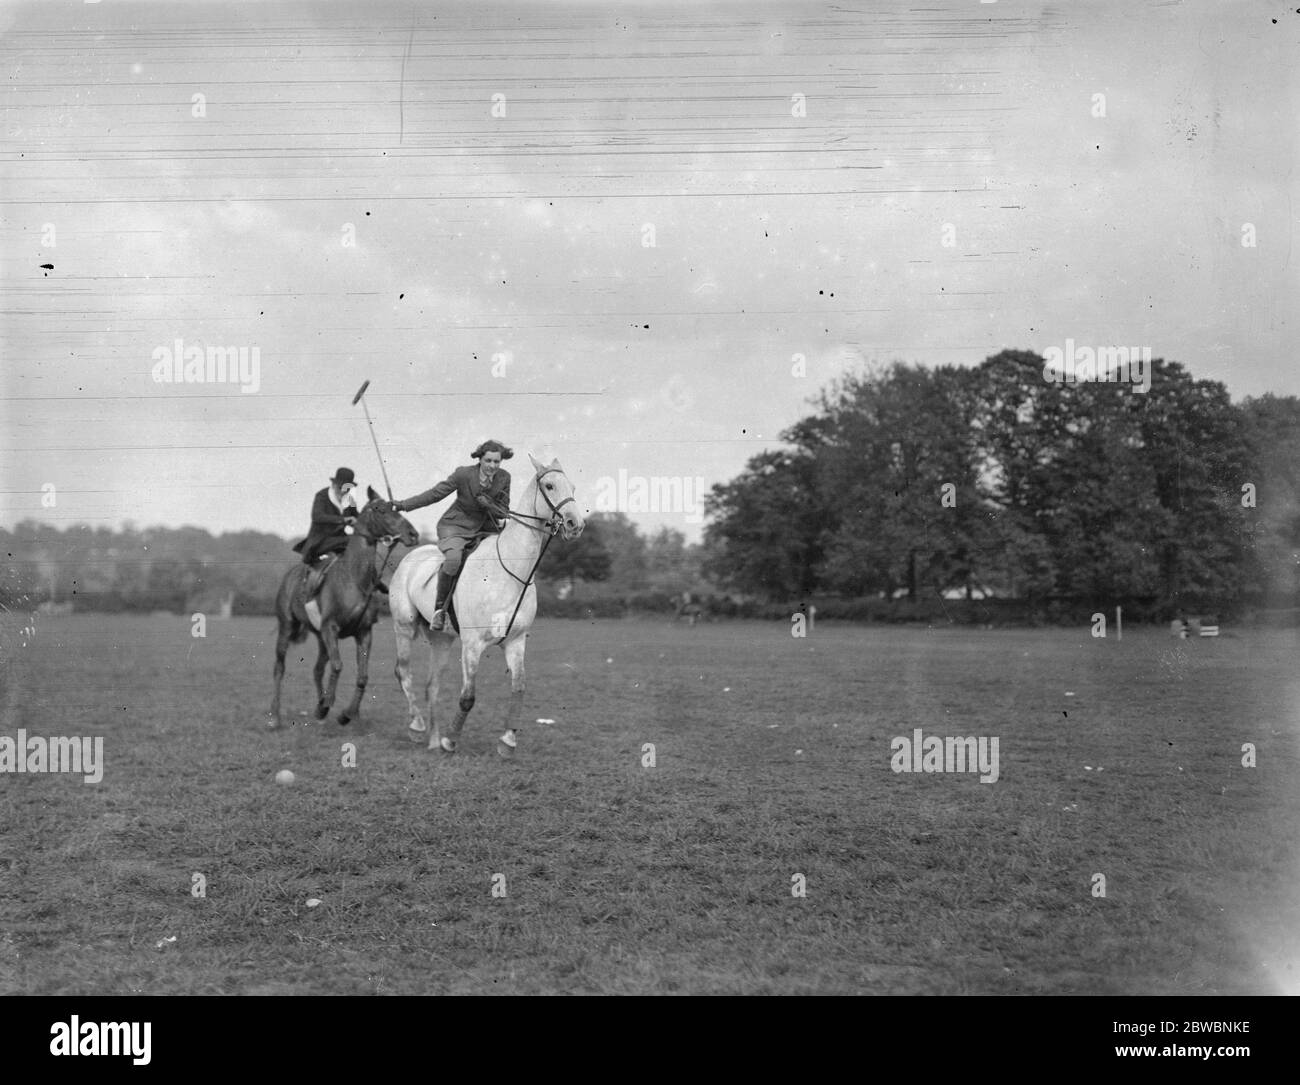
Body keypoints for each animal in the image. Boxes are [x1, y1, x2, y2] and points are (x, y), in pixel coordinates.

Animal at [269, 491, 416, 727]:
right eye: (382, 510)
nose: (413, 534)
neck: (354, 578)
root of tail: (290, 575)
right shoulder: (331, 628)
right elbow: (338, 665)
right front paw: (327, 704)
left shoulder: (363, 632)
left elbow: (362, 676)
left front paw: (347, 713)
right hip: (287, 627)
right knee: (279, 668)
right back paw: (275, 716)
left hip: (320, 636)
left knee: (318, 669)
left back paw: (319, 709)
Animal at [387, 452, 587, 753]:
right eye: (549, 486)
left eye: (572, 487)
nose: (576, 525)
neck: (510, 572)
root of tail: (410, 556)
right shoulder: (472, 645)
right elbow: (468, 696)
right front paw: (450, 740)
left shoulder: (516, 642)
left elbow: (519, 687)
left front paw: (507, 741)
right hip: (404, 627)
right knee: (403, 672)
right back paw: (418, 726)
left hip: (442, 640)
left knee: (432, 686)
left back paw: (432, 741)